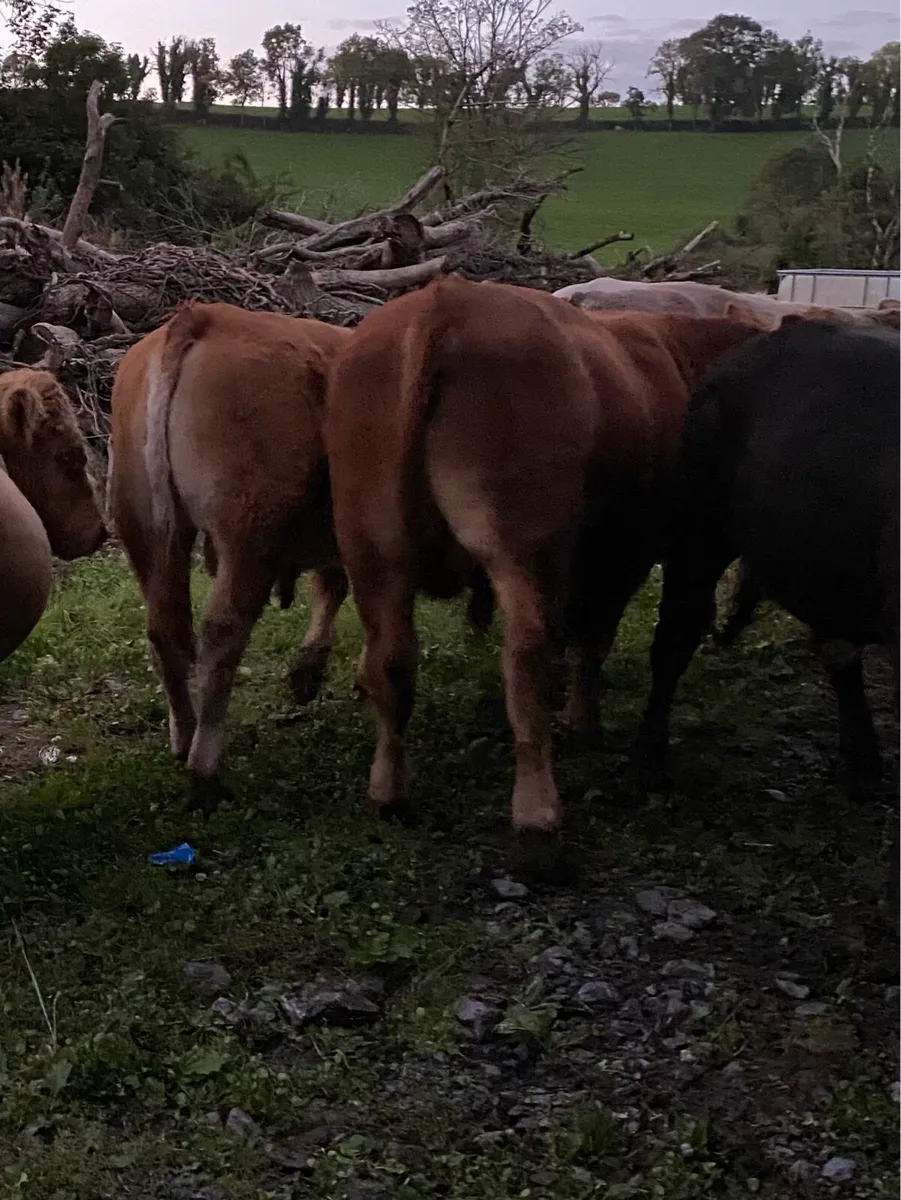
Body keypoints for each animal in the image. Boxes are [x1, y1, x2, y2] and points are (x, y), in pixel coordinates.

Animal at [109, 301, 351, 792]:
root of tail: (204, 316)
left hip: (145, 530)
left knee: (165, 630)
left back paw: (182, 734)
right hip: (246, 537)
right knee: (222, 633)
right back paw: (205, 763)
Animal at [325, 274, 769, 862]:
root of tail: (445, 301)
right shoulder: (646, 551)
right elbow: (614, 638)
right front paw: (587, 723)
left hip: (373, 547)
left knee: (391, 660)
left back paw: (389, 793)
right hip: (525, 544)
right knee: (527, 657)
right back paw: (538, 814)